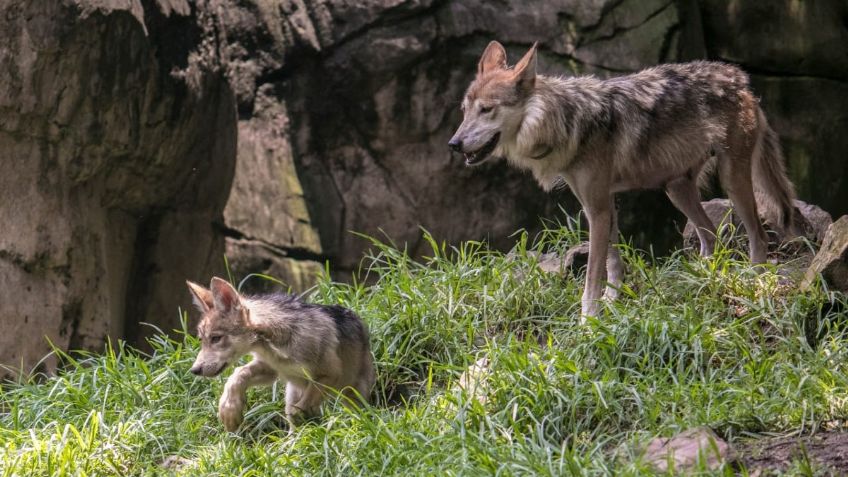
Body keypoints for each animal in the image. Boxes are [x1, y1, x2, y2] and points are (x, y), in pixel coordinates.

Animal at [189, 278, 374, 430]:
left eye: (216, 338)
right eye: (201, 340)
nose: (194, 370)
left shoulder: (329, 375)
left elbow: (299, 410)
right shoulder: (271, 370)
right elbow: (236, 375)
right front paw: (229, 411)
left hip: (352, 396)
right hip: (292, 392)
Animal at [454, 41, 800, 316]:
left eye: (487, 110)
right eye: (464, 110)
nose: (453, 144)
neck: (565, 122)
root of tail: (740, 80)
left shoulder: (597, 208)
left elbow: (593, 273)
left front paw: (588, 320)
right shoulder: (600, 205)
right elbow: (613, 262)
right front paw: (612, 301)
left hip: (732, 181)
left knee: (759, 237)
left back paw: (751, 280)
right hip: (676, 189)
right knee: (711, 235)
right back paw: (701, 279)